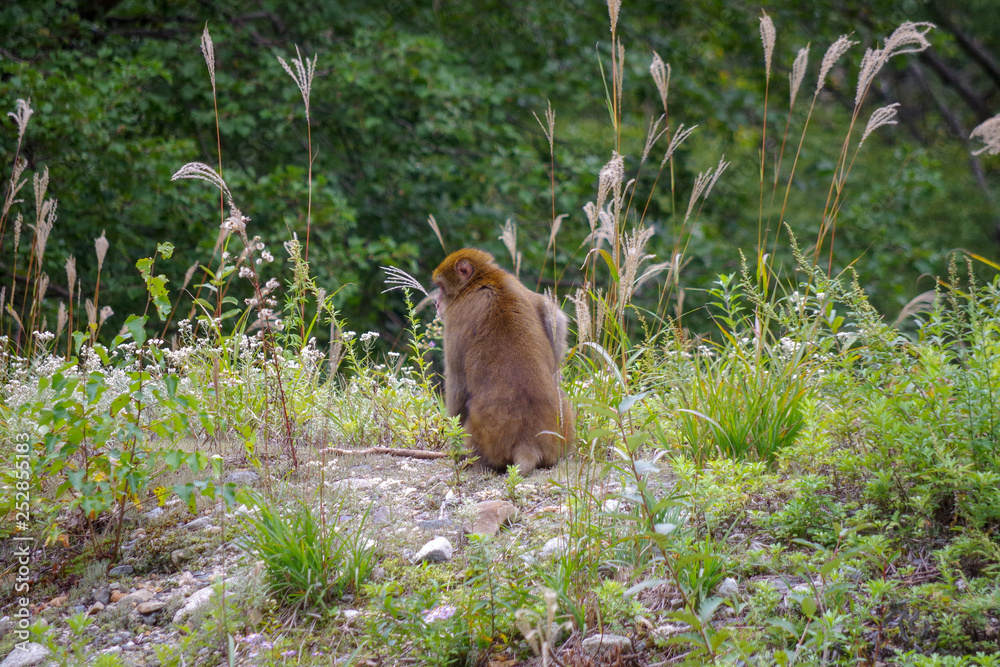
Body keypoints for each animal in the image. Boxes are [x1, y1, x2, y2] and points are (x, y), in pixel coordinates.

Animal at [428, 247, 576, 474]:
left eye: (442, 287)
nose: (437, 304)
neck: (484, 278)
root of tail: (527, 444)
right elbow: (554, 319)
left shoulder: (455, 319)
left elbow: (457, 384)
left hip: (481, 438)